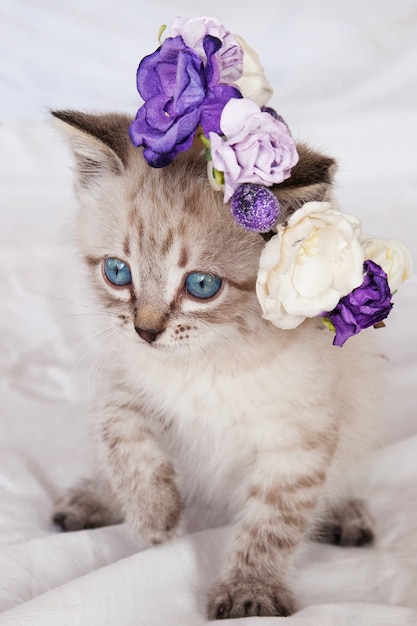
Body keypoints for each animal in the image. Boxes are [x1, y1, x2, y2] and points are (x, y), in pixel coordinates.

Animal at [51, 109, 376, 616]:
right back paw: (94, 501)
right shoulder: (122, 378)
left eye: (202, 285)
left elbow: (273, 523)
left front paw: (251, 592)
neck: (212, 360)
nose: (146, 331)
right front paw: (154, 515)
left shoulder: (298, 440)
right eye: (117, 272)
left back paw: (347, 514)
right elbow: (120, 437)